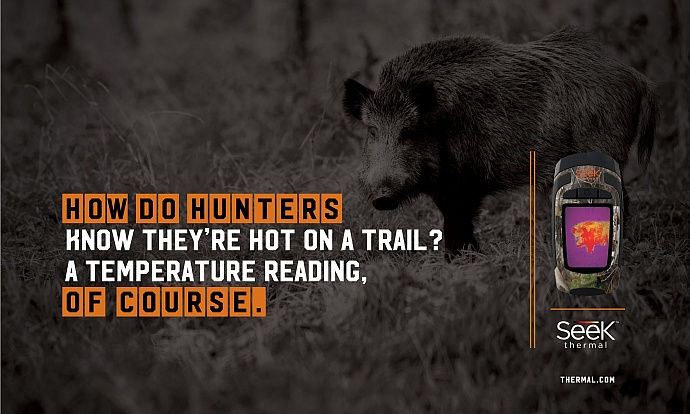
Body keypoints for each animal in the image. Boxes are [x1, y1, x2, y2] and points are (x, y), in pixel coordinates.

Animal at [342, 25, 657, 255]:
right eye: (372, 131)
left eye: (408, 131)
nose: (382, 197)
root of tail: (637, 76)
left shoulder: (465, 181)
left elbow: (457, 222)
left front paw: (459, 259)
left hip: (602, 149)